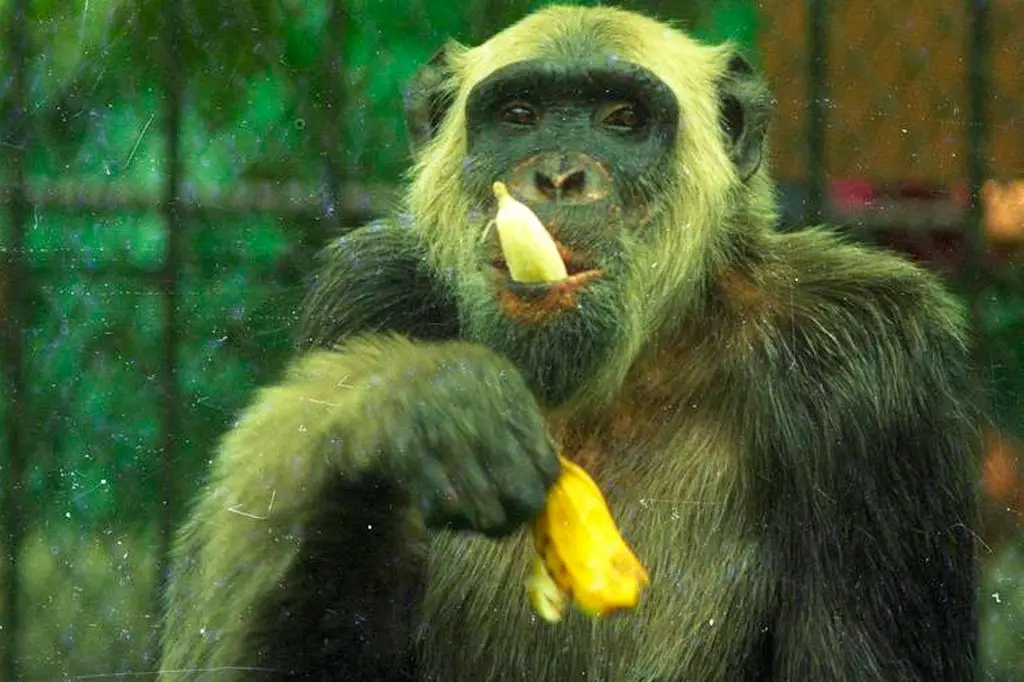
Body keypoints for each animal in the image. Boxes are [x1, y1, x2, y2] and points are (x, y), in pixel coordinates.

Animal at [159, 5, 979, 681]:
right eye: (520, 115)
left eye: (622, 117)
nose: (557, 175)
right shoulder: (362, 295)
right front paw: (420, 410)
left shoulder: (870, 371)